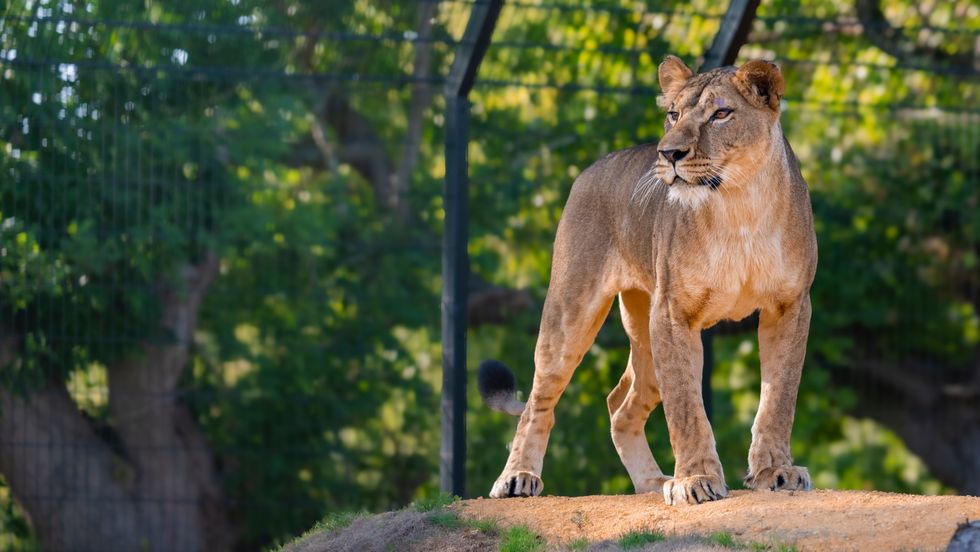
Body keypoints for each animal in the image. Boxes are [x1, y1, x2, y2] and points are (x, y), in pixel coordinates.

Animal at [477, 56, 817, 505]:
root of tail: (592, 168)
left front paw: (775, 471)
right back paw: (518, 477)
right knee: (538, 400)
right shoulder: (673, 314)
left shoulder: (790, 306)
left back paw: (653, 483)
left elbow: (779, 397)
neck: (739, 206)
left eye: (721, 114)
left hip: (645, 337)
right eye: (673, 114)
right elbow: (686, 408)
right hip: (572, 314)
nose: (669, 152)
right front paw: (695, 480)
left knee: (620, 404)